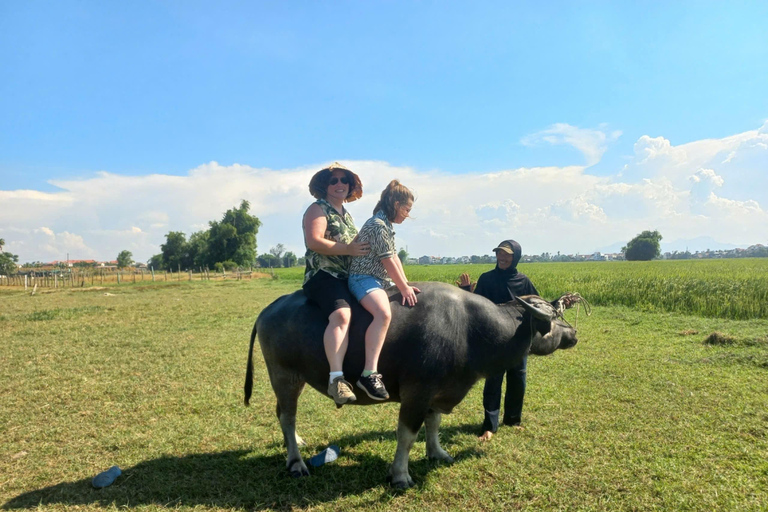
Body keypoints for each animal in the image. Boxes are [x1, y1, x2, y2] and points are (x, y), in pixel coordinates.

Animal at [244, 282, 576, 490]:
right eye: (554, 317)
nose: (573, 333)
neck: (470, 329)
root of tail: (268, 310)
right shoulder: (417, 392)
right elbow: (407, 435)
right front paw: (400, 475)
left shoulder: (438, 390)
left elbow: (434, 424)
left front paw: (438, 453)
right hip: (284, 376)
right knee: (287, 415)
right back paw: (296, 463)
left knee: (284, 415)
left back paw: (297, 443)